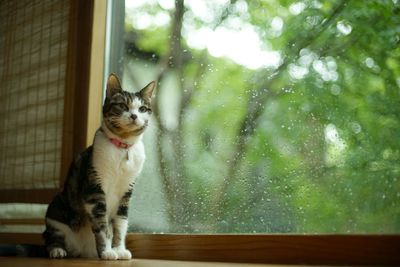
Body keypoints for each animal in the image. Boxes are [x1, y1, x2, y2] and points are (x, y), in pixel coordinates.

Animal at [43, 74, 155, 260]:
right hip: (56, 209)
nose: (133, 116)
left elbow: (120, 225)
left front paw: (119, 249)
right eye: (122, 105)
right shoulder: (94, 188)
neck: (122, 148)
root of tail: (79, 251)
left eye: (142, 109)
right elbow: (102, 224)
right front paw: (107, 252)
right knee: (51, 235)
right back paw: (57, 250)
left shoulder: (126, 192)